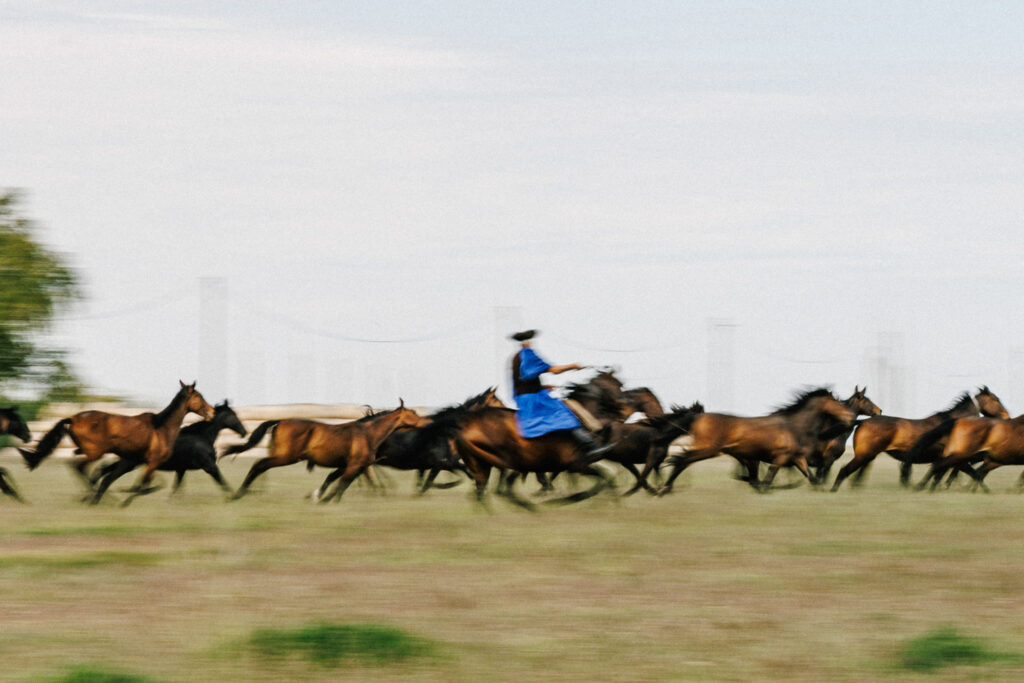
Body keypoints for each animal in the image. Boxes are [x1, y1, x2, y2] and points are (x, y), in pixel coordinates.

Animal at [19, 382, 214, 505]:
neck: (162, 427)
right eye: (199, 396)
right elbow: (143, 485)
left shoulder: (134, 461)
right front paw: (124, 501)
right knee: (78, 467)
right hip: (95, 452)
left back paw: (95, 496)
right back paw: (97, 497)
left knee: (80, 465)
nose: (211, 411)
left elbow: (138, 483)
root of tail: (73, 419)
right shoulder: (152, 462)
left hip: (86, 450)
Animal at [89, 401, 245, 501]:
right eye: (233, 415)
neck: (202, 437)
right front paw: (234, 496)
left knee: (103, 471)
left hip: (129, 463)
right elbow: (222, 481)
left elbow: (176, 487)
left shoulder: (181, 469)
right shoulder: (209, 466)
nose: (244, 431)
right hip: (128, 464)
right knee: (107, 476)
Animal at [226, 401, 425, 501]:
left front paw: (318, 495)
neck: (368, 433)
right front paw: (326, 499)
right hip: (286, 457)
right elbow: (342, 484)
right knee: (259, 465)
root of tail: (280, 421)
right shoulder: (355, 465)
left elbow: (334, 480)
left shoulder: (352, 465)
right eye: (413, 413)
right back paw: (238, 493)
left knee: (260, 467)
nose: (426, 422)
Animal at [655, 387, 856, 493]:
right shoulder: (781, 458)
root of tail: (699, 417)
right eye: (837, 403)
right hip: (708, 449)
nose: (851, 417)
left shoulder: (796, 458)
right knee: (682, 461)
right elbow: (767, 480)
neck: (793, 426)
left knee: (682, 460)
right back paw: (664, 488)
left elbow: (811, 477)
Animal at [827, 389, 1011, 491]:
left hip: (868, 455)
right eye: (996, 399)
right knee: (846, 470)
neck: (952, 424)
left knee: (857, 473)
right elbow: (965, 472)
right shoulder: (954, 458)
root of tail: (863, 421)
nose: (1007, 416)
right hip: (865, 455)